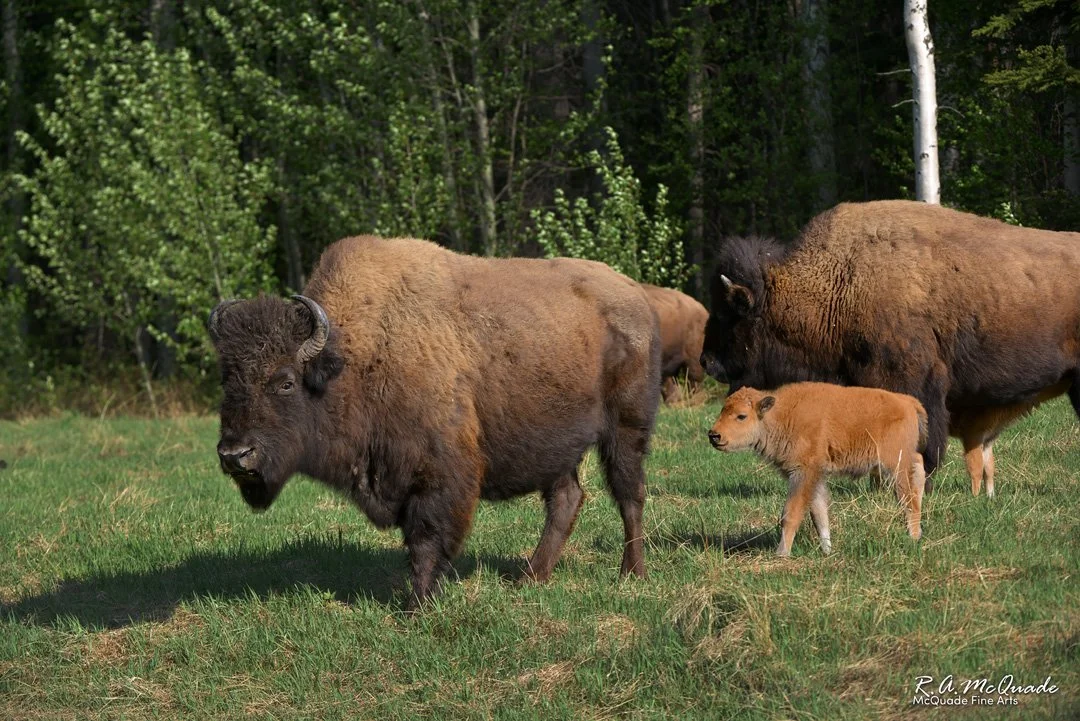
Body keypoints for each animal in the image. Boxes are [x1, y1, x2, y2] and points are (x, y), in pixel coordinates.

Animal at [208, 235, 662, 608]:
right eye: (226, 379)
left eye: (285, 382)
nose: (235, 455)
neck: (349, 360)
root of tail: (636, 296)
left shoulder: (439, 476)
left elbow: (426, 539)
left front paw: (418, 605)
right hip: (557, 444)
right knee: (567, 499)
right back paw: (530, 578)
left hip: (625, 429)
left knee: (629, 495)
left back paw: (632, 573)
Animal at [708, 382, 928, 556]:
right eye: (723, 410)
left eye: (741, 416)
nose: (714, 435)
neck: (780, 414)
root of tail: (907, 401)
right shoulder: (816, 477)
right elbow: (819, 513)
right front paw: (827, 550)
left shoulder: (803, 473)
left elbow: (791, 513)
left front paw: (781, 554)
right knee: (918, 468)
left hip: (894, 464)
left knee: (908, 497)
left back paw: (913, 536)